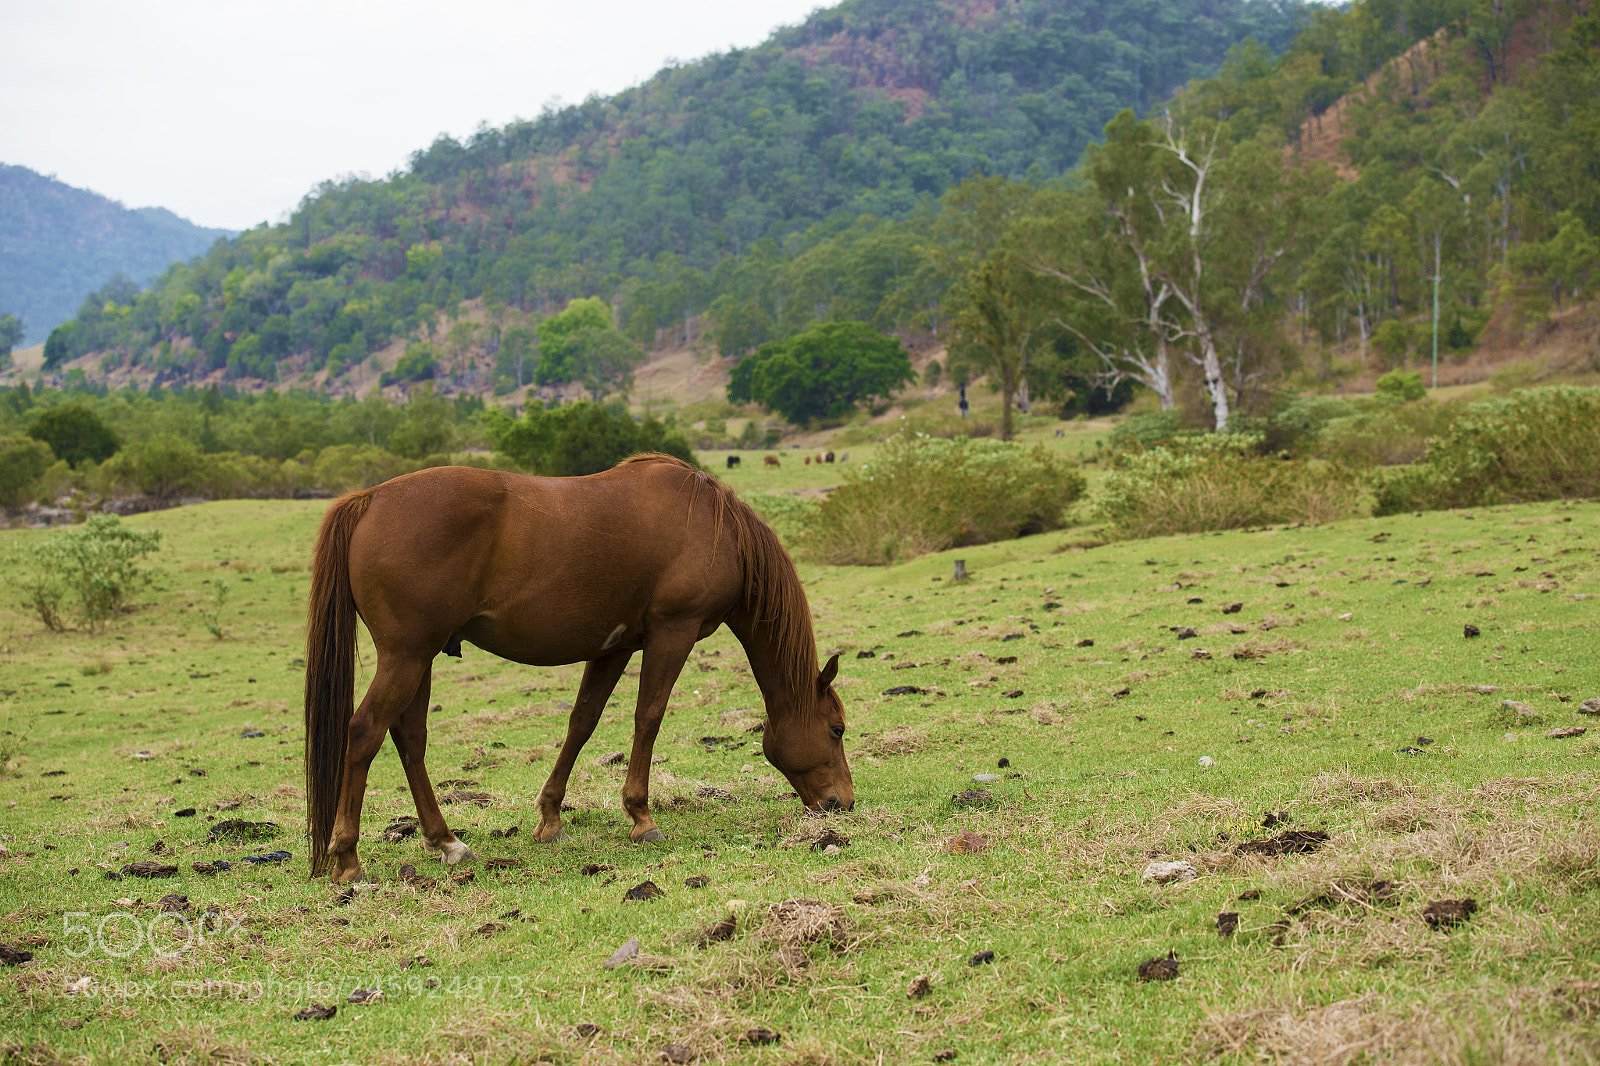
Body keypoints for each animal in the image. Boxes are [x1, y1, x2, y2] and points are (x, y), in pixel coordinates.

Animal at [303, 455, 854, 883]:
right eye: (836, 729)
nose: (843, 803)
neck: (717, 529)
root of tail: (370, 498)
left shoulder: (614, 647)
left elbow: (582, 723)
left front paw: (550, 819)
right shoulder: (671, 633)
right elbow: (648, 719)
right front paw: (641, 817)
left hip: (420, 658)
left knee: (409, 740)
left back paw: (446, 842)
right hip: (407, 657)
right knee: (364, 732)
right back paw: (348, 860)